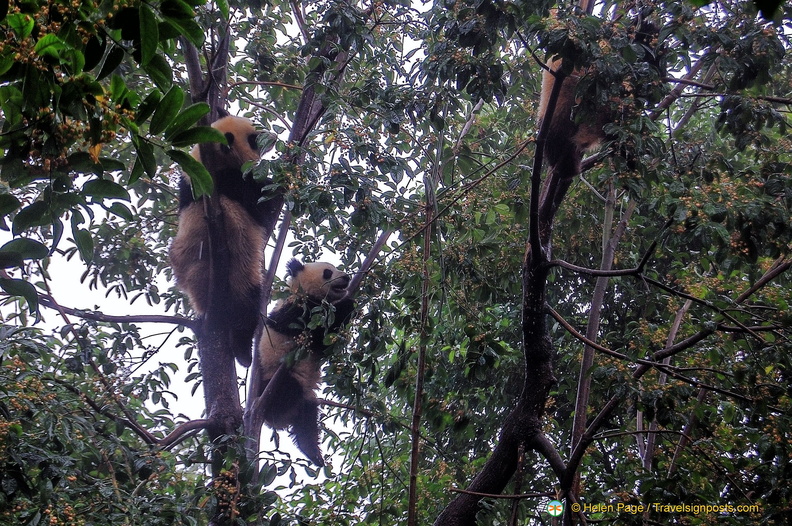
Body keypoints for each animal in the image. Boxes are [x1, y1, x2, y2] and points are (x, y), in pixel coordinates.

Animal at [169, 115, 268, 368]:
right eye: (253, 140)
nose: (271, 138)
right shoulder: (229, 185)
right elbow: (259, 205)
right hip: (239, 268)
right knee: (247, 303)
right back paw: (243, 352)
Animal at [256, 258, 356, 468]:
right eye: (327, 272)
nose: (346, 277)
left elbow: (325, 345)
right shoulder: (293, 310)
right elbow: (314, 330)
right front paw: (348, 305)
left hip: (305, 401)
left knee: (307, 422)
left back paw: (314, 454)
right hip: (278, 379)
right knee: (289, 390)